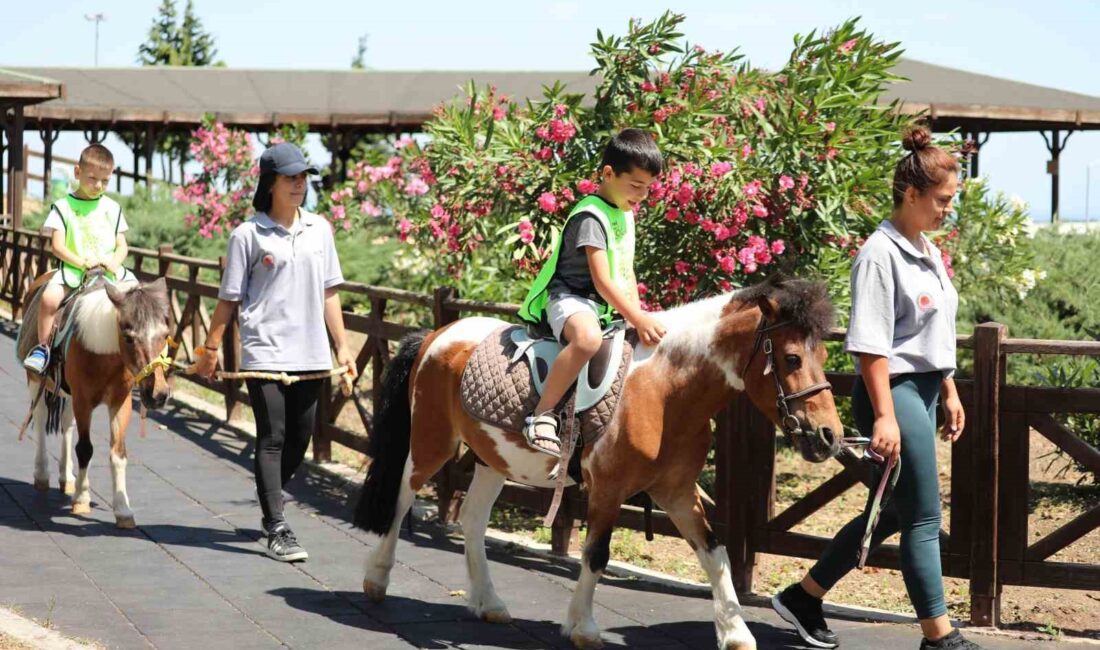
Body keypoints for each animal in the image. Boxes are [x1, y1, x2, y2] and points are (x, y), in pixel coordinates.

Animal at [17, 271, 172, 525]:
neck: (105, 353)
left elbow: (118, 453)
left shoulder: (120, 402)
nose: (157, 394)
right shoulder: (83, 401)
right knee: (40, 418)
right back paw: (42, 474)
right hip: (36, 380)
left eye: (165, 335)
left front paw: (123, 510)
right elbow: (85, 449)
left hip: (67, 392)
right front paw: (81, 499)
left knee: (66, 424)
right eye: (128, 337)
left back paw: (66, 477)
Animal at [352, 277, 840, 646]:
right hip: (431, 443)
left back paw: (489, 603)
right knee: (401, 496)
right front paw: (583, 627)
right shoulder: (608, 487)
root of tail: (437, 335)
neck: (664, 390)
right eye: (792, 357)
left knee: (472, 519)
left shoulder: (676, 491)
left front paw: (736, 633)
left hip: (492, 459)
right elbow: (596, 554)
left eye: (823, 356)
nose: (830, 436)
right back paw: (376, 580)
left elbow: (715, 552)